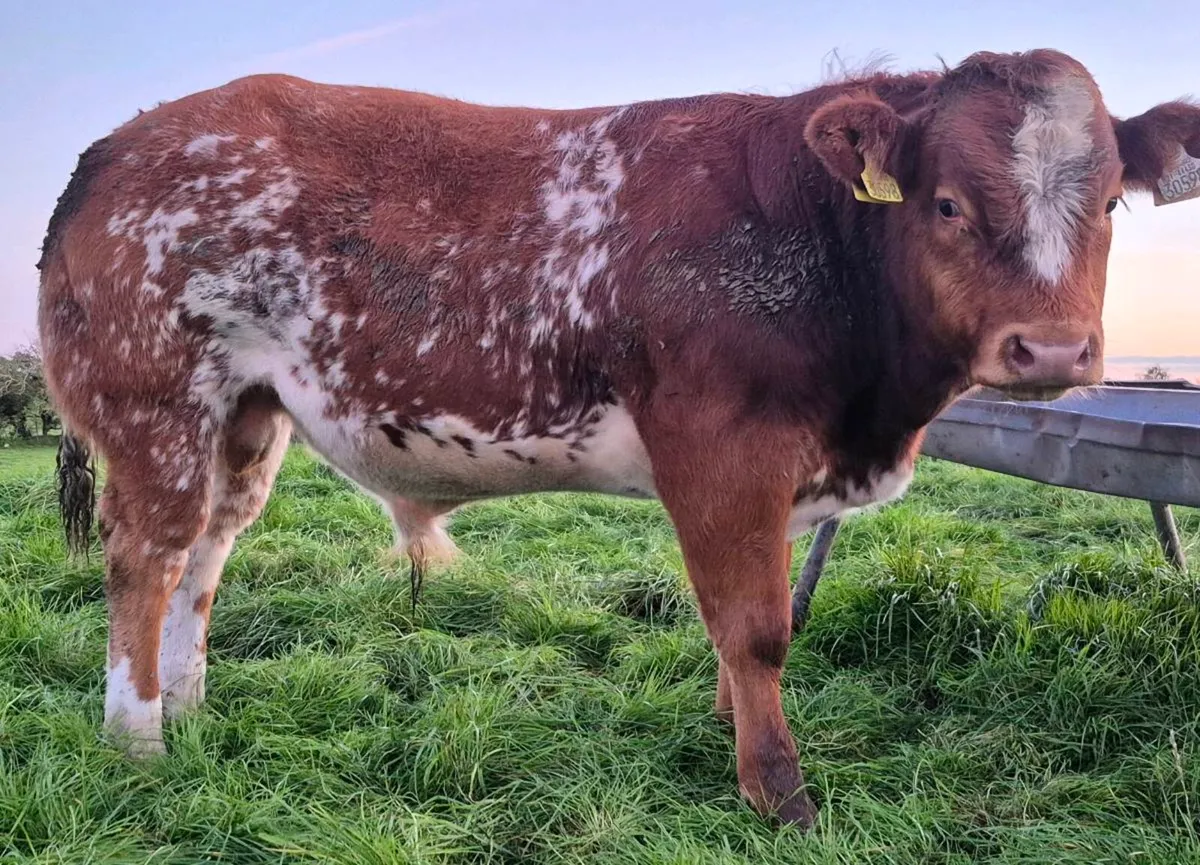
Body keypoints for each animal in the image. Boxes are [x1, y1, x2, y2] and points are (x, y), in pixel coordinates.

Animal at [36, 47, 1200, 827]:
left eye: (1108, 202)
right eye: (950, 203)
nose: (1051, 351)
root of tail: (122, 141)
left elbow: (736, 631)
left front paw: (736, 745)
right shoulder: (724, 449)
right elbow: (756, 627)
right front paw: (779, 796)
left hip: (245, 414)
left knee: (208, 552)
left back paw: (189, 712)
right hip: (157, 400)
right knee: (147, 555)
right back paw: (137, 742)